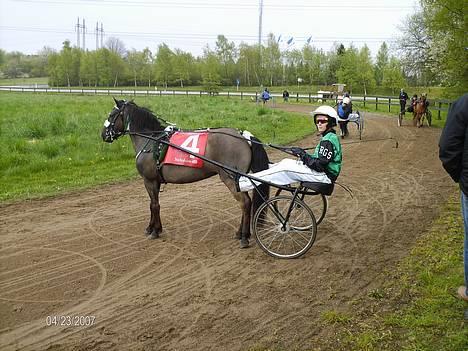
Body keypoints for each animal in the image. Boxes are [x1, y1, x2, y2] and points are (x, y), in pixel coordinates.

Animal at [102, 97, 270, 249]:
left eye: (111, 115)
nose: (103, 134)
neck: (152, 141)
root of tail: (243, 136)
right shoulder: (155, 181)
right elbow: (152, 204)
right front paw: (152, 227)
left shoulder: (149, 180)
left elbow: (154, 205)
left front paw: (154, 231)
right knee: (246, 202)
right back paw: (240, 233)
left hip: (229, 177)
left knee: (245, 203)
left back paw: (244, 237)